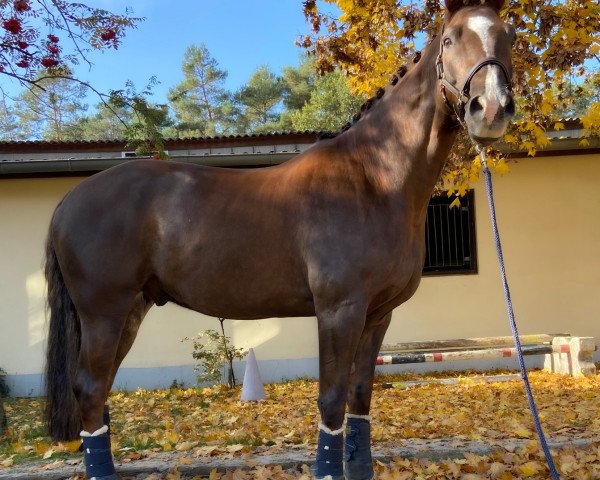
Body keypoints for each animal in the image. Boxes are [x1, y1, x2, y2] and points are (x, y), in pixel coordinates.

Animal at [45, 0, 516, 480]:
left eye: (509, 36)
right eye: (451, 38)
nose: (491, 109)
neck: (374, 177)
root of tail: (69, 200)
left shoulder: (378, 315)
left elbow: (359, 399)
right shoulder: (339, 311)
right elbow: (331, 402)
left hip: (130, 311)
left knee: (98, 394)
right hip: (105, 312)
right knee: (91, 390)